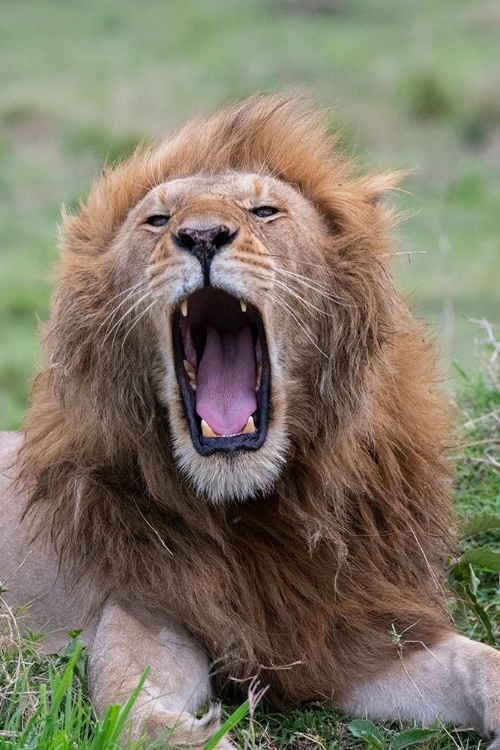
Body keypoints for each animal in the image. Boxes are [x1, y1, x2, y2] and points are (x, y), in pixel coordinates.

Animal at [0, 97, 500, 748]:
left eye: (264, 211)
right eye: (157, 220)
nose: (202, 236)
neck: (255, 509)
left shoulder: (346, 634)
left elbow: (482, 661)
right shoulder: (140, 620)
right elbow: (156, 724)